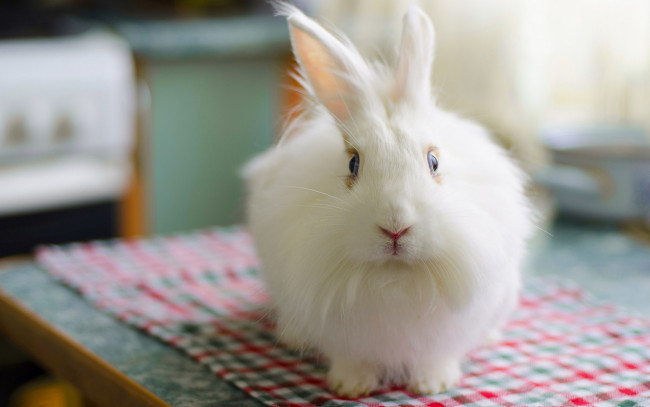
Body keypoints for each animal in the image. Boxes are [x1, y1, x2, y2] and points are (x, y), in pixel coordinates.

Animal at [243, 1, 533, 398]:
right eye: (353, 163)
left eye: (433, 161)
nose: (395, 228)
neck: (394, 279)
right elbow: (352, 359)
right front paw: (349, 386)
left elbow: (436, 356)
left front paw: (434, 384)